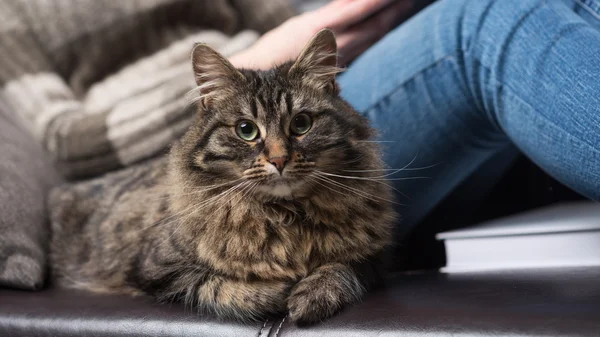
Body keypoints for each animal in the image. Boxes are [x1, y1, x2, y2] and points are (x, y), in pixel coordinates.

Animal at [50, 30, 398, 324]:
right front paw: (278, 291)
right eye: (246, 130)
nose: (279, 159)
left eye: (301, 124)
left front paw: (311, 295)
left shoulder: (373, 258)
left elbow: (339, 269)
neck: (284, 217)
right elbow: (217, 284)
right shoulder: (155, 269)